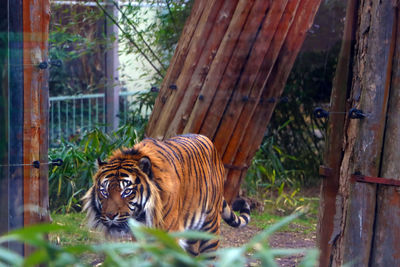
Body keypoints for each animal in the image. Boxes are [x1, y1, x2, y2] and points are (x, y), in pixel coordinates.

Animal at [82, 134, 250, 255]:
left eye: (127, 191)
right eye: (104, 191)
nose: (110, 216)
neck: (142, 217)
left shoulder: (167, 236)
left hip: (210, 226)